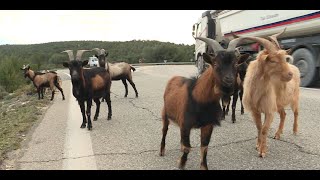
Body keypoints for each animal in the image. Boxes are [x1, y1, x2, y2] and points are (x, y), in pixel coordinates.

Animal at [242, 29, 300, 158]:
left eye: (284, 59)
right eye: (273, 60)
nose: (290, 74)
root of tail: (294, 67)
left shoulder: (269, 110)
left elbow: (264, 129)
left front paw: (262, 151)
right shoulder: (256, 110)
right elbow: (259, 127)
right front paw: (258, 145)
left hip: (295, 98)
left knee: (296, 113)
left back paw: (295, 131)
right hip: (279, 103)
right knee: (284, 114)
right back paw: (278, 134)